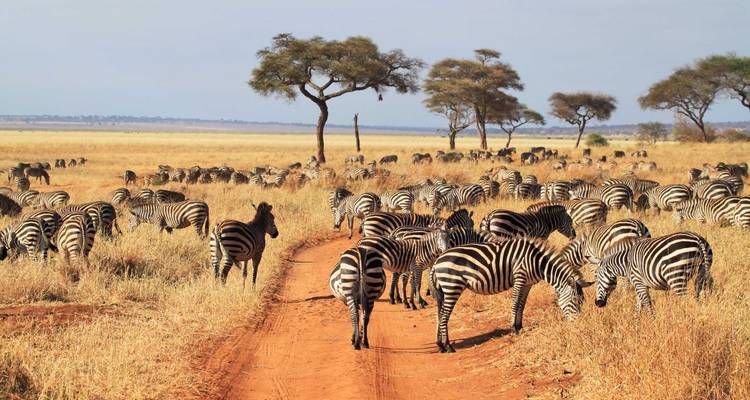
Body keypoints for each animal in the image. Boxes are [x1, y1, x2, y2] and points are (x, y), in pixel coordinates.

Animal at [430, 239, 591, 352]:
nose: (578, 324)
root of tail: (437, 261)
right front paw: (514, 329)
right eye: (575, 300)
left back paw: (440, 345)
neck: (537, 261)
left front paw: (519, 327)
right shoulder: (519, 277)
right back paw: (448, 346)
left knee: (439, 314)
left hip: (443, 290)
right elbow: (515, 303)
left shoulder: (527, 283)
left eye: (582, 301)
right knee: (444, 315)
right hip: (452, 286)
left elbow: (522, 304)